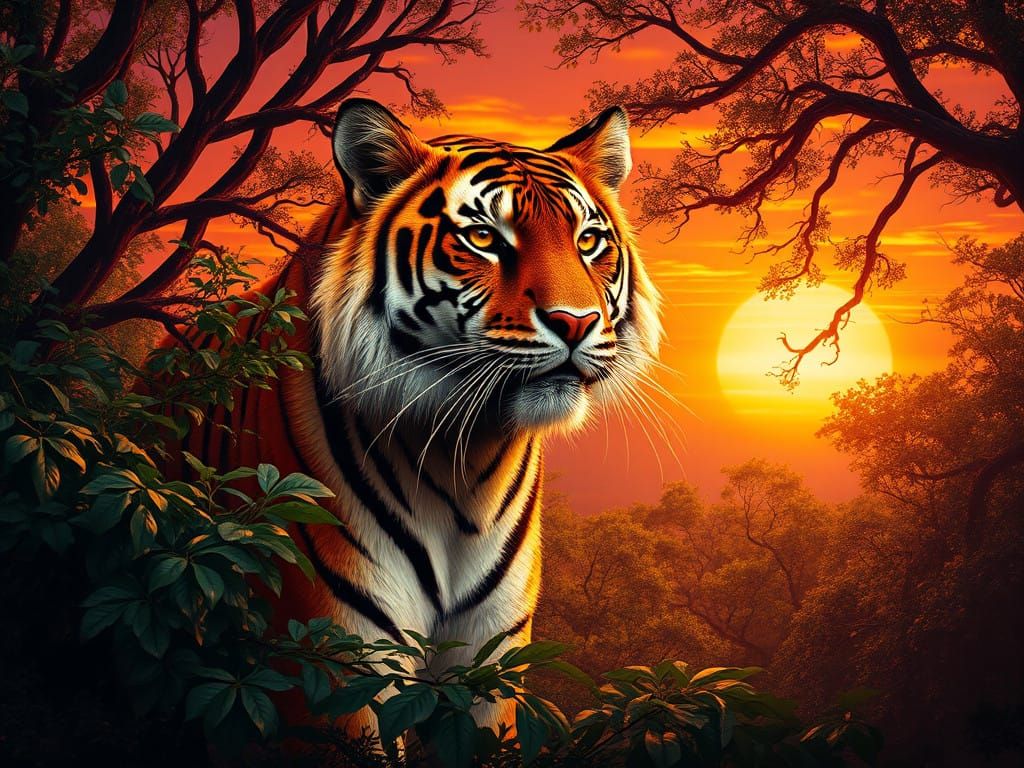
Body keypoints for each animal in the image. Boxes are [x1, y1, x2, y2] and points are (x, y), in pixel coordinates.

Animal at [169, 98, 661, 735]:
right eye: (483, 237)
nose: (576, 322)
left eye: (588, 240)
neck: (466, 461)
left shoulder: (491, 656)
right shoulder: (333, 654)